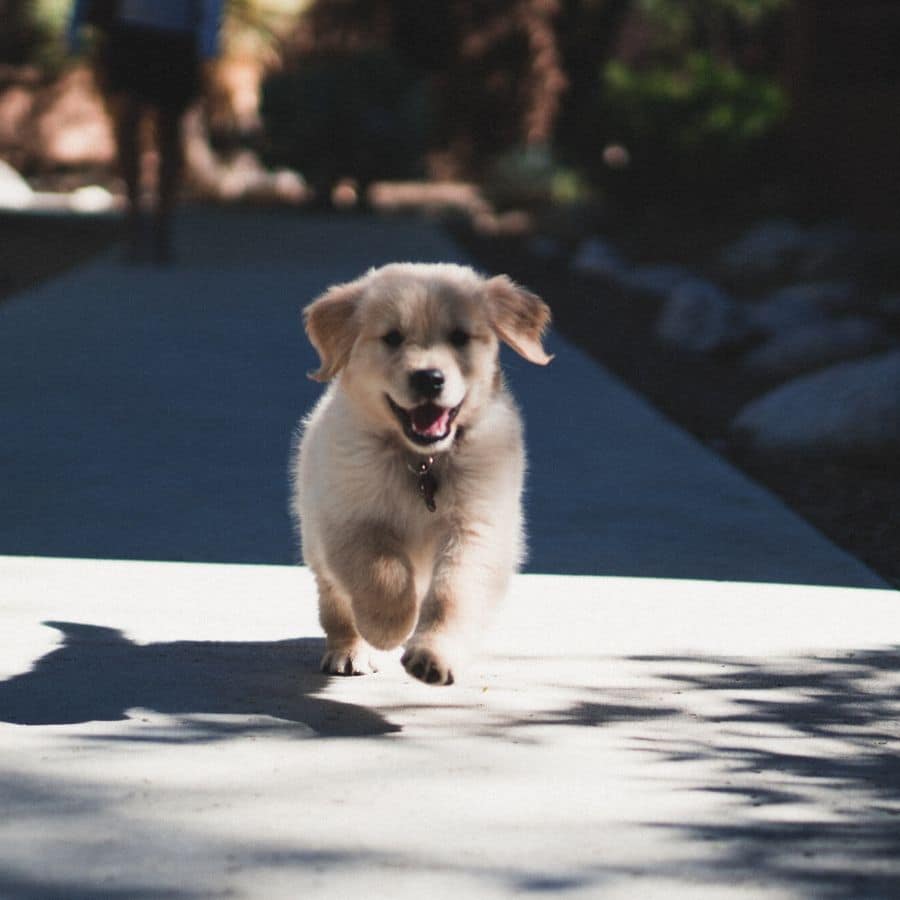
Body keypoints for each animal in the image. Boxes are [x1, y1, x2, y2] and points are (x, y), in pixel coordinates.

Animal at [292, 264, 552, 684]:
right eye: (392, 338)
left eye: (460, 337)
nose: (429, 378)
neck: (421, 461)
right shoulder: (349, 519)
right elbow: (382, 573)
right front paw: (389, 627)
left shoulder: (477, 527)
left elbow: (453, 594)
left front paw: (433, 655)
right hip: (315, 541)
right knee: (336, 603)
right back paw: (350, 650)